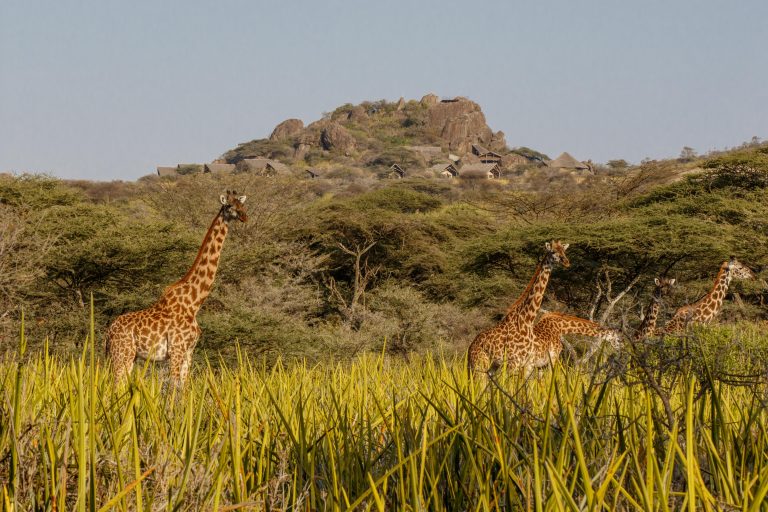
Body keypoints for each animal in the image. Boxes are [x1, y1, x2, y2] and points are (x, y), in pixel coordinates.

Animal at [105, 191, 248, 384]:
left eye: (242, 205)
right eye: (229, 206)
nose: (244, 217)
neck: (194, 303)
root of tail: (108, 332)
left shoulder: (188, 352)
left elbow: (185, 387)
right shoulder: (176, 349)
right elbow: (173, 387)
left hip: (131, 356)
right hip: (122, 355)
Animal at [464, 238, 572, 374]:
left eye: (564, 251)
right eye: (552, 252)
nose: (566, 262)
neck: (527, 320)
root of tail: (470, 348)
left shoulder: (525, 363)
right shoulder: (514, 362)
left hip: (490, 367)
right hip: (479, 365)